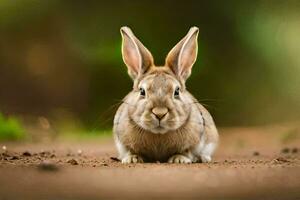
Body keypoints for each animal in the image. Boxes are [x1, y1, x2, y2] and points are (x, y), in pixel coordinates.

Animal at [112, 26, 218, 164]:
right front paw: (132, 159)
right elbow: (130, 150)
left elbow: (187, 151)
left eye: (176, 91)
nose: (159, 113)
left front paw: (179, 159)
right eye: (142, 91)